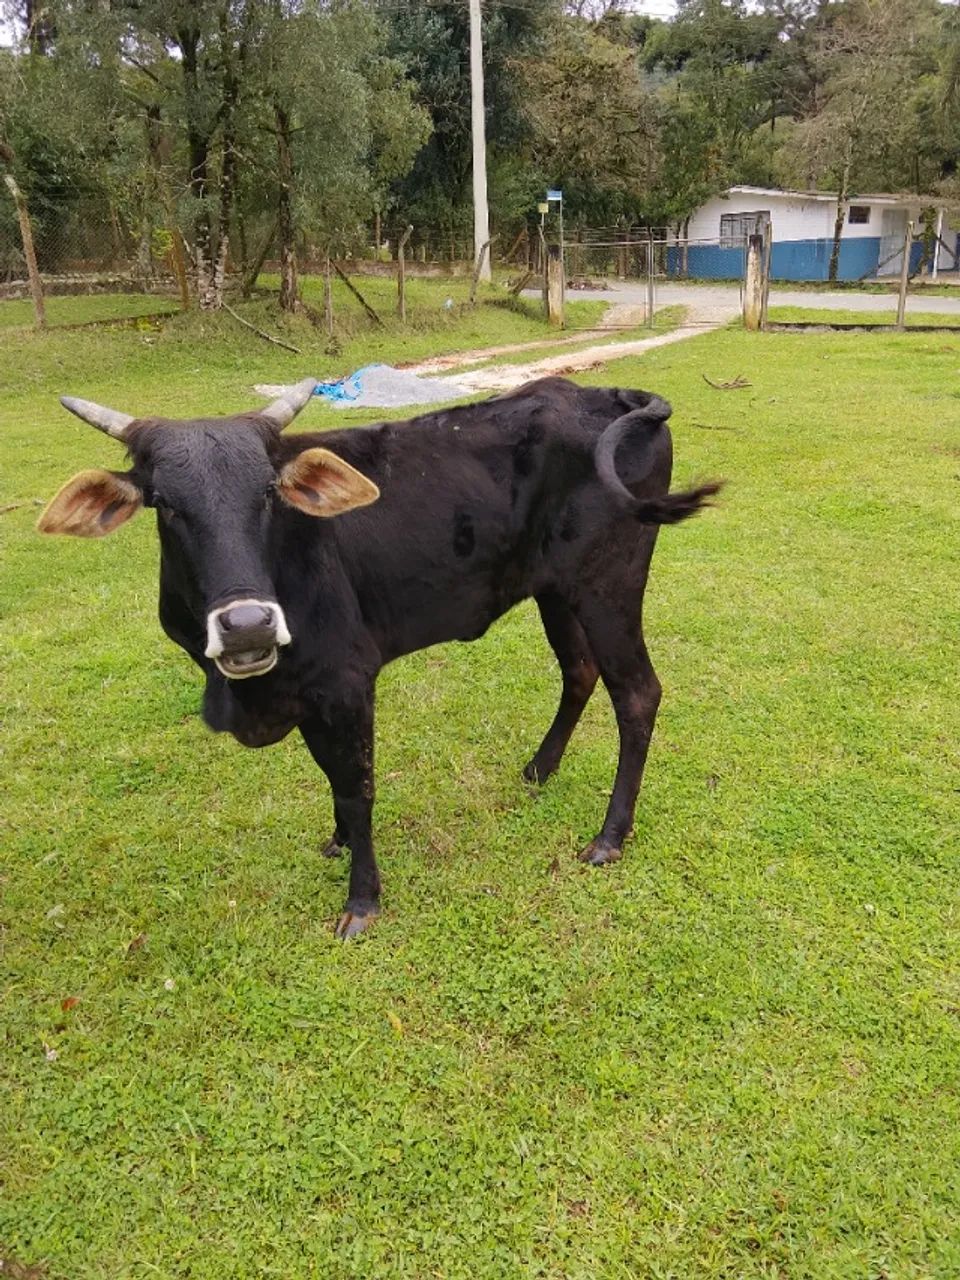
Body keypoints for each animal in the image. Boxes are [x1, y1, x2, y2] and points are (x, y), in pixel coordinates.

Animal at [38, 375, 718, 938]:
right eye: (167, 504)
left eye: (268, 495)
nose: (247, 626)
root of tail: (608, 394)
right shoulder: (311, 692)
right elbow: (331, 777)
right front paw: (338, 841)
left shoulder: (346, 681)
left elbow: (355, 786)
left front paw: (361, 901)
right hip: (556, 589)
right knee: (579, 672)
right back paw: (538, 769)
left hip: (609, 586)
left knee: (637, 693)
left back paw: (609, 837)